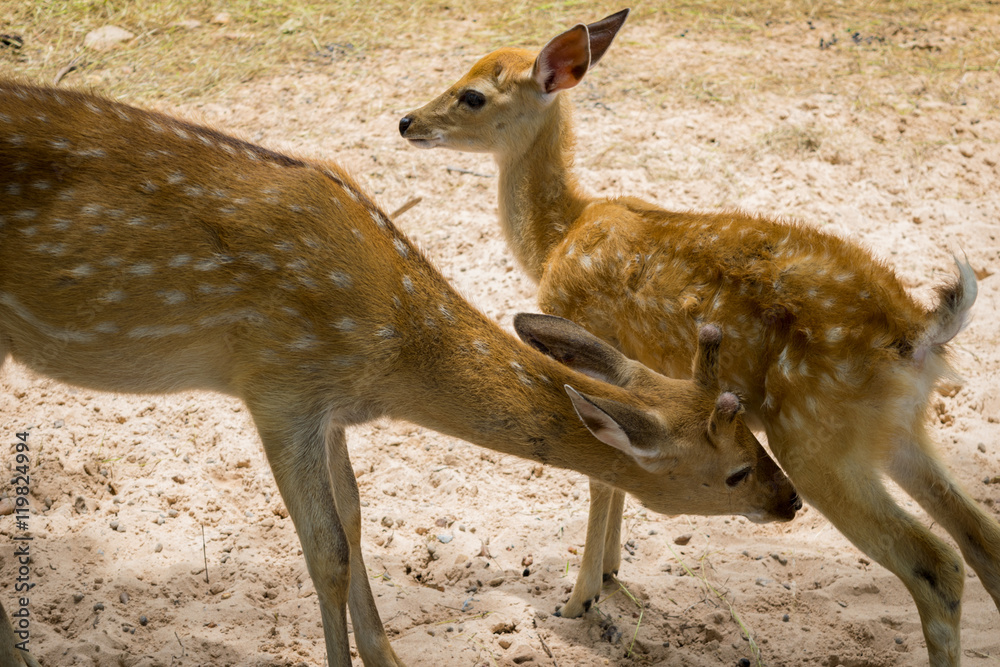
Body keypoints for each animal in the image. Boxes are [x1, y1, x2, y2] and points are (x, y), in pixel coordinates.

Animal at [0, 80, 801, 667]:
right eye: (733, 471)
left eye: (754, 436)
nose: (790, 499)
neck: (388, 350)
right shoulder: (278, 382)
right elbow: (324, 549)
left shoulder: (329, 409)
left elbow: (355, 523)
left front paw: (387, 656)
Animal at [398, 9, 1000, 666]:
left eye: (473, 95)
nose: (406, 122)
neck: (559, 236)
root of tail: (920, 333)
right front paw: (610, 574)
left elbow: (599, 475)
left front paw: (579, 600)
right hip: (898, 430)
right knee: (982, 539)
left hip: (814, 437)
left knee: (935, 563)